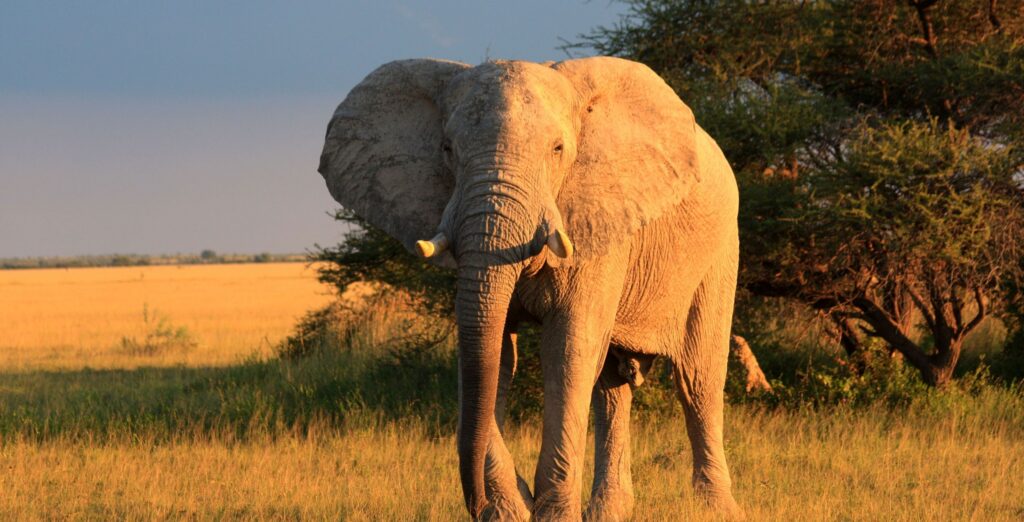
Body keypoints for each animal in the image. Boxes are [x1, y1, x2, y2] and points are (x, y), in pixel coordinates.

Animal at [318, 56, 741, 520]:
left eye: (557, 150)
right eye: (447, 149)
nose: (477, 503)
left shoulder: (597, 221)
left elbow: (569, 349)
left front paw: (548, 514)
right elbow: (490, 353)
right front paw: (512, 510)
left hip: (720, 250)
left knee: (697, 379)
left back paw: (717, 510)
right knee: (613, 388)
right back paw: (607, 511)